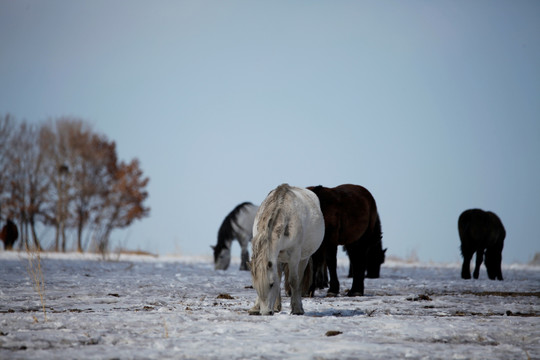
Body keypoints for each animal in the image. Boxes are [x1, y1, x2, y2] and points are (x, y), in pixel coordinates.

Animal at [250, 184, 324, 316]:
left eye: (271, 284)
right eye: (255, 286)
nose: (266, 312)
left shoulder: (294, 255)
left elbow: (293, 281)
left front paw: (297, 309)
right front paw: (255, 307)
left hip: (303, 258)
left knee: (299, 278)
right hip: (279, 258)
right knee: (279, 275)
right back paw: (276, 306)